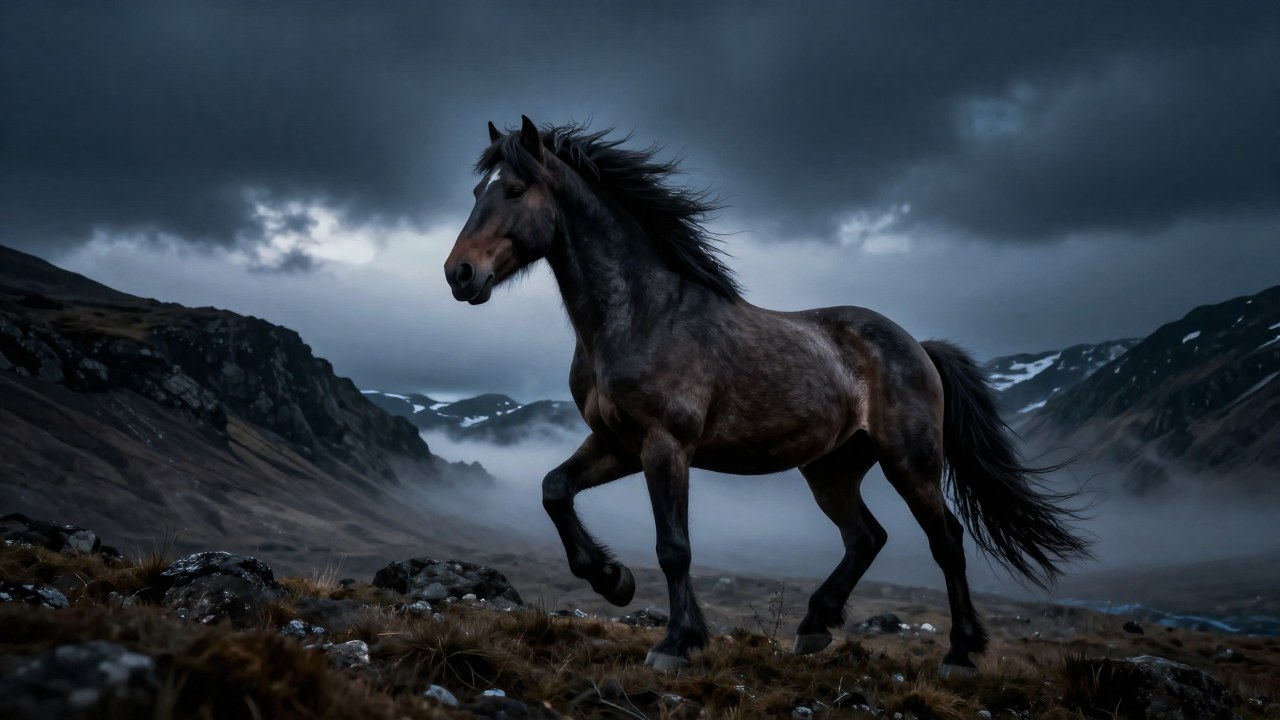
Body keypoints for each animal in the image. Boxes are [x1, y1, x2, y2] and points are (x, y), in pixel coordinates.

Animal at [443, 116, 1089, 674]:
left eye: (516, 189)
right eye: (476, 189)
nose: (459, 274)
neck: (640, 316)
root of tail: (919, 347)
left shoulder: (664, 445)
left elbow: (673, 546)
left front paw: (676, 642)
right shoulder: (618, 442)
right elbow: (554, 490)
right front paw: (612, 579)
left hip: (910, 462)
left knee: (946, 542)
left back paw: (958, 654)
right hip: (831, 468)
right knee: (866, 537)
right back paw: (814, 627)